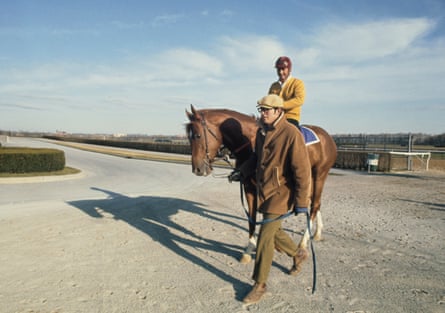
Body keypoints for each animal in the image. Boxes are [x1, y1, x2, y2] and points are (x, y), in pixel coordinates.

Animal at [185, 103, 336, 264]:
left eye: (198, 136)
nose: (197, 169)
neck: (250, 142)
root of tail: (327, 136)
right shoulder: (249, 188)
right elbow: (252, 218)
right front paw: (250, 249)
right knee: (315, 203)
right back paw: (317, 233)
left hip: (319, 176)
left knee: (314, 205)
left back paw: (303, 242)